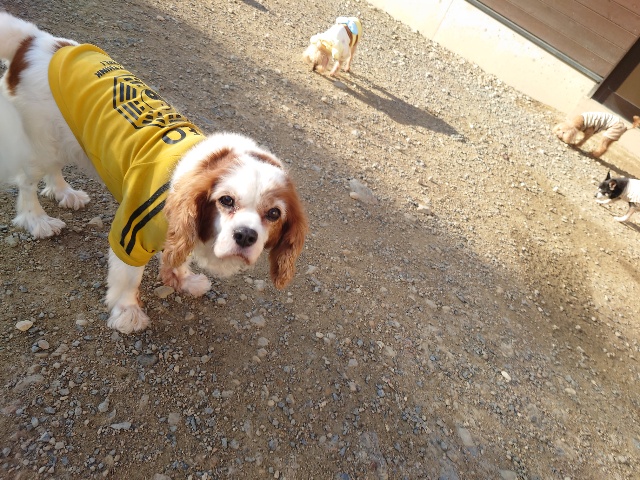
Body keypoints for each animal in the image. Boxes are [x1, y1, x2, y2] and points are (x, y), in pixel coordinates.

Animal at [0, 12, 308, 334]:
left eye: (274, 214)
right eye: (226, 200)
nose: (246, 235)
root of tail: (35, 40)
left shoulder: (178, 233)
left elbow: (177, 257)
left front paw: (183, 279)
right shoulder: (130, 234)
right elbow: (128, 277)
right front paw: (127, 312)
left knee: (54, 171)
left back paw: (64, 192)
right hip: (40, 143)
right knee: (26, 183)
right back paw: (37, 220)